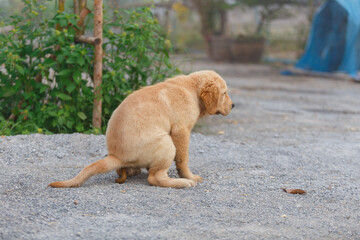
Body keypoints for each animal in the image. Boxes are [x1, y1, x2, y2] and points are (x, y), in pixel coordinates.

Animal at [48, 70, 233, 188]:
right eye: (224, 93)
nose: (233, 105)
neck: (191, 88)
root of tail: (116, 156)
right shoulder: (181, 131)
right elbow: (183, 159)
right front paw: (189, 176)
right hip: (166, 143)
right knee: (155, 178)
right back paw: (181, 183)